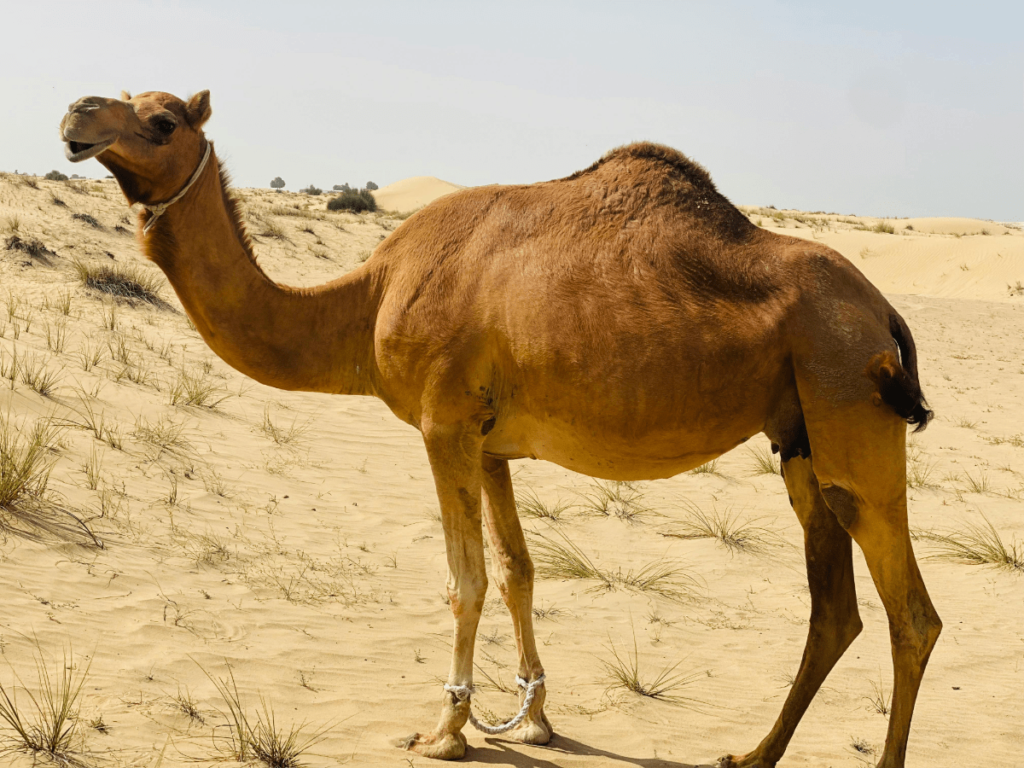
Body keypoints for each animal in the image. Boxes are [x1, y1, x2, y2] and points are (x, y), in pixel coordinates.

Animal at [59, 91, 942, 768]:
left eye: (162, 119)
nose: (76, 113)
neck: (366, 301)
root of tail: (885, 312)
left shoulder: (442, 423)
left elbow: (467, 578)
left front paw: (447, 730)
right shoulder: (490, 444)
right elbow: (520, 571)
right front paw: (538, 718)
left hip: (846, 395)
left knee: (911, 614)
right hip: (800, 437)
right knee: (836, 610)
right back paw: (752, 753)